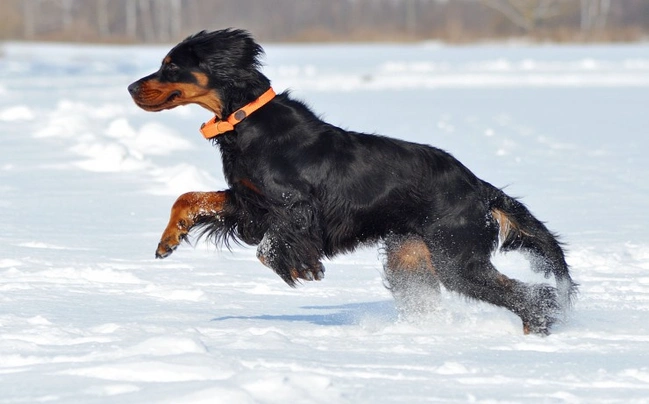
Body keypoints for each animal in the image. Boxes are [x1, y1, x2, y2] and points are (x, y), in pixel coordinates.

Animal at [129, 30, 576, 336]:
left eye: (171, 65)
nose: (132, 87)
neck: (248, 121)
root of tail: (480, 189)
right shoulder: (250, 203)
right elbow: (189, 196)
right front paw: (169, 239)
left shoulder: (293, 206)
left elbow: (271, 247)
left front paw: (302, 267)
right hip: (410, 257)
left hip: (456, 257)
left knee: (533, 295)